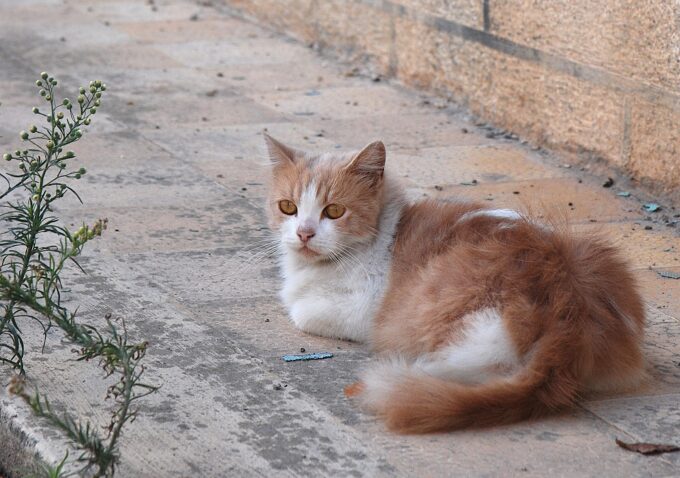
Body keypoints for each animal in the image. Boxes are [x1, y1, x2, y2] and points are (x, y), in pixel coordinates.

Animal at [262, 134, 644, 434]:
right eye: (288, 207)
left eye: (334, 211)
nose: (304, 233)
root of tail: (567, 307)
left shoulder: (363, 308)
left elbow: (301, 310)